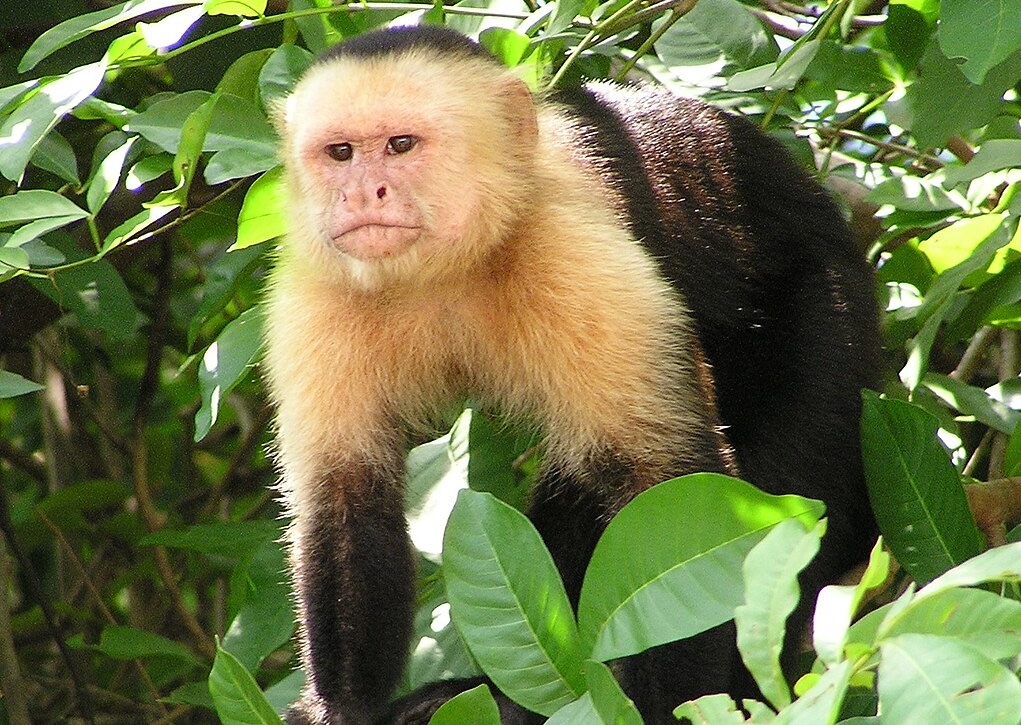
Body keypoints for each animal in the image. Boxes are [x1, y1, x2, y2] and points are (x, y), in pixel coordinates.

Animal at [263, 24, 881, 725]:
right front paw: (341, 708)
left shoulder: (575, 258)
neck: (446, 270)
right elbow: (344, 499)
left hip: (828, 313)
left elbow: (671, 490)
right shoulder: (317, 292)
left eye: (401, 145)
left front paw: (672, 710)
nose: (361, 193)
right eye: (339, 153)